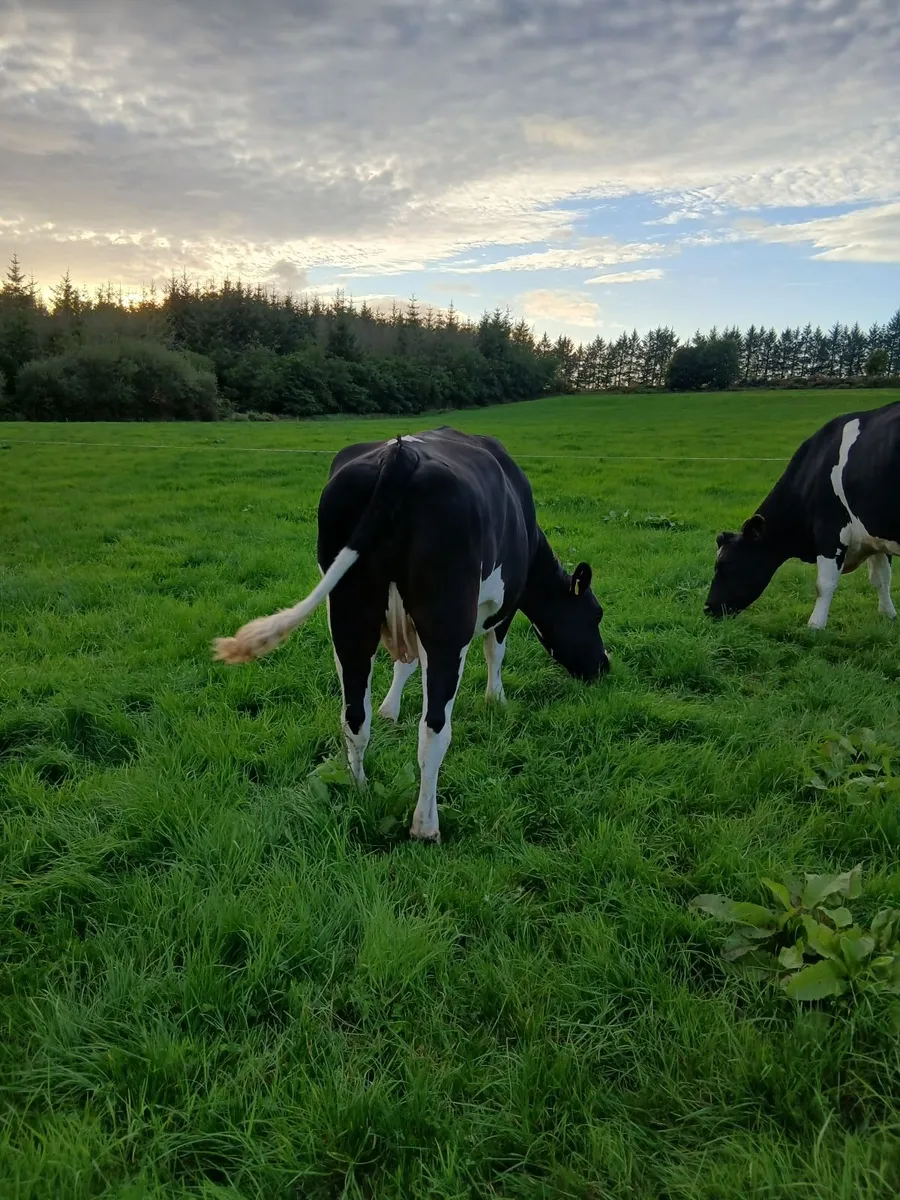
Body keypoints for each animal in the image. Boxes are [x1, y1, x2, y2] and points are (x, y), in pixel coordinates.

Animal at [214, 427, 609, 842]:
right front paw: (496, 700)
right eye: (595, 614)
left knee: (354, 716)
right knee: (434, 729)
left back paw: (360, 790)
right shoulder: (505, 602)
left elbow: (403, 667)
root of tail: (400, 456)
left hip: (347, 614)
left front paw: (389, 709)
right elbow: (495, 651)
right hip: (446, 620)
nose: (604, 665)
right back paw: (425, 825)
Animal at [705, 401, 900, 629]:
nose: (707, 608)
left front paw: (815, 626)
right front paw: (888, 614)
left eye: (727, 565)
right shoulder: (874, 535)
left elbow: (824, 584)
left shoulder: (830, 532)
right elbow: (881, 579)